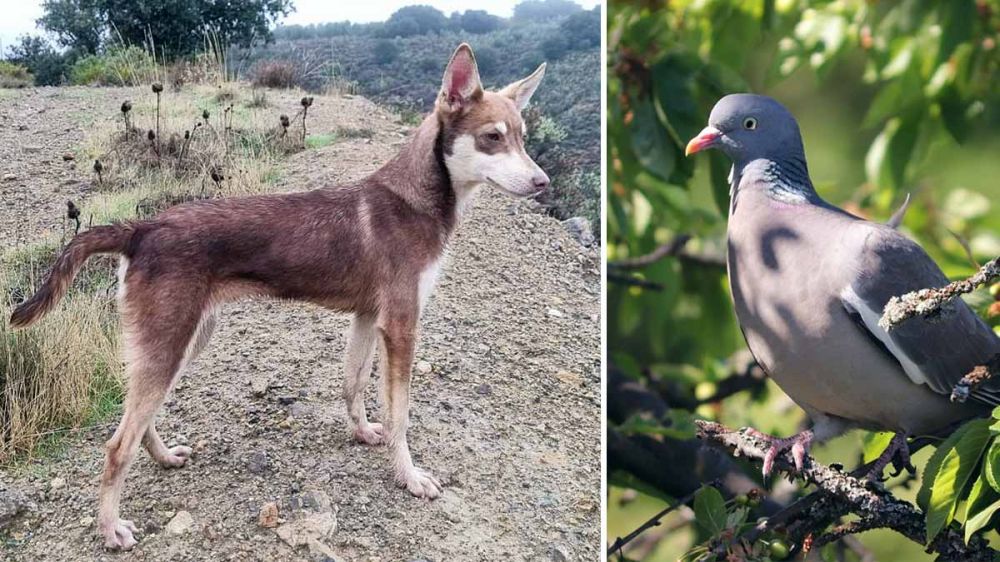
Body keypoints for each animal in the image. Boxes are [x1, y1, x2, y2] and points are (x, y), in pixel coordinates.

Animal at [7, 42, 548, 548]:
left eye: (522, 137)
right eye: (492, 138)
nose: (543, 183)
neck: (413, 199)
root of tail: (142, 228)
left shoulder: (368, 318)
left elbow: (352, 385)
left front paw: (361, 433)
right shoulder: (402, 326)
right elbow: (400, 415)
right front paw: (409, 477)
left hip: (182, 340)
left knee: (138, 420)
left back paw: (162, 457)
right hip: (170, 340)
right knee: (117, 444)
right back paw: (110, 527)